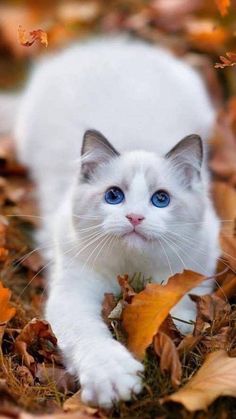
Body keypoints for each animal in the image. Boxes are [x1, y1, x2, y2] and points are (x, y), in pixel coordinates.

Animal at [12, 35, 219, 406]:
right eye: (113, 196)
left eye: (160, 199)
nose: (134, 217)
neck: (130, 270)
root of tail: (107, 44)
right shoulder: (74, 290)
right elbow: (92, 338)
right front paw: (113, 380)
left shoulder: (194, 266)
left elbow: (177, 312)